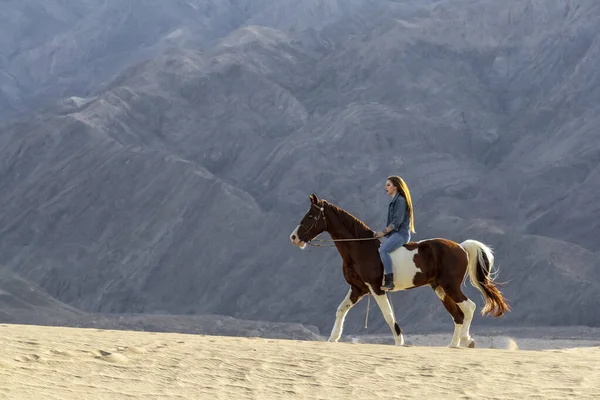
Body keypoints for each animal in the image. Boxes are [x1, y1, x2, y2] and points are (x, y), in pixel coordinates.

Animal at [290, 194, 510, 346]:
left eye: (311, 216)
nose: (294, 237)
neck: (361, 247)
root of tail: (462, 247)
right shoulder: (358, 289)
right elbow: (340, 310)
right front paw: (333, 339)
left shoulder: (376, 289)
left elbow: (388, 315)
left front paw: (399, 342)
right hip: (439, 288)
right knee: (458, 315)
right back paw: (453, 345)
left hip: (451, 286)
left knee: (469, 307)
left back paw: (466, 341)